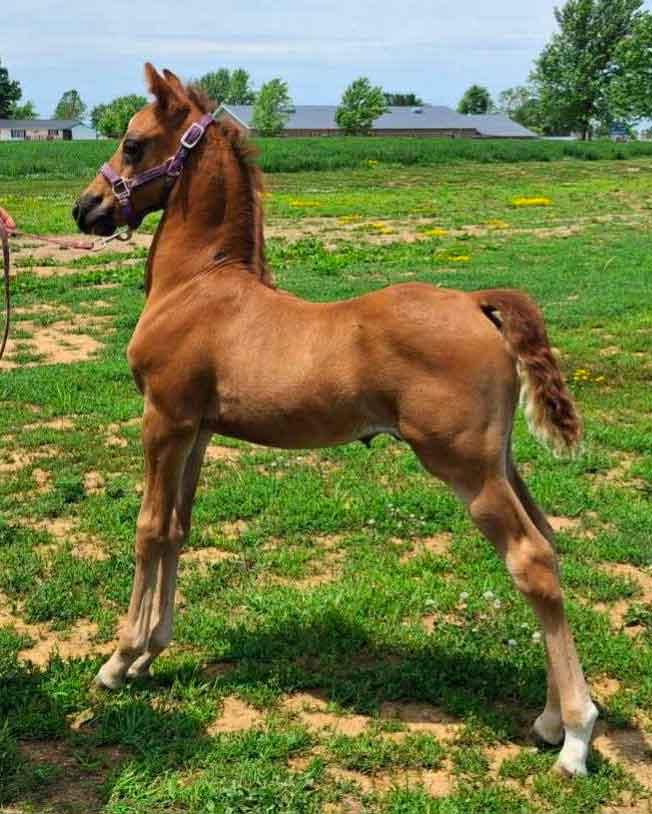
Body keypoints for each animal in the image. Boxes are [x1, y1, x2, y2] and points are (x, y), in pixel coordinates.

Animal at [73, 64, 597, 776]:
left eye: (132, 144)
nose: (86, 208)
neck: (198, 286)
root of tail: (474, 301)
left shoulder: (163, 418)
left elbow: (149, 529)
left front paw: (121, 659)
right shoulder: (198, 431)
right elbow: (179, 528)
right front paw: (153, 650)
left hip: (465, 467)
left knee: (532, 559)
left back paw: (575, 736)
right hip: (502, 461)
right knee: (549, 543)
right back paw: (547, 718)